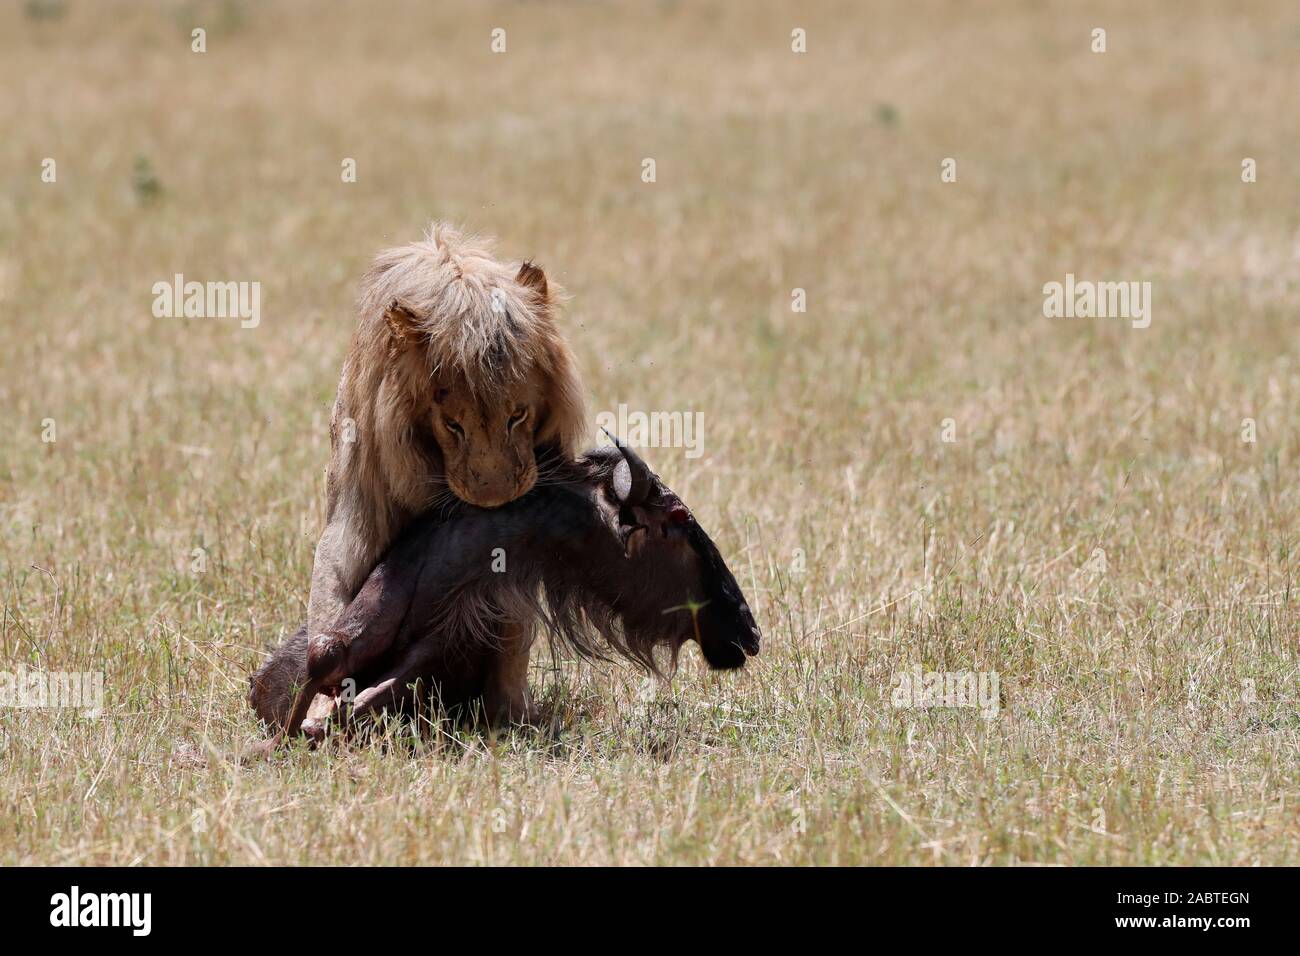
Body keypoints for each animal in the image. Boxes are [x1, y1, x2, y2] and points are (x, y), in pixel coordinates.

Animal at [304, 223, 586, 730]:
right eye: (453, 425)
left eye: (517, 415)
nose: (494, 499)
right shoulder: (354, 513)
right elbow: (331, 591)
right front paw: (320, 705)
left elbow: (512, 632)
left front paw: (511, 719)